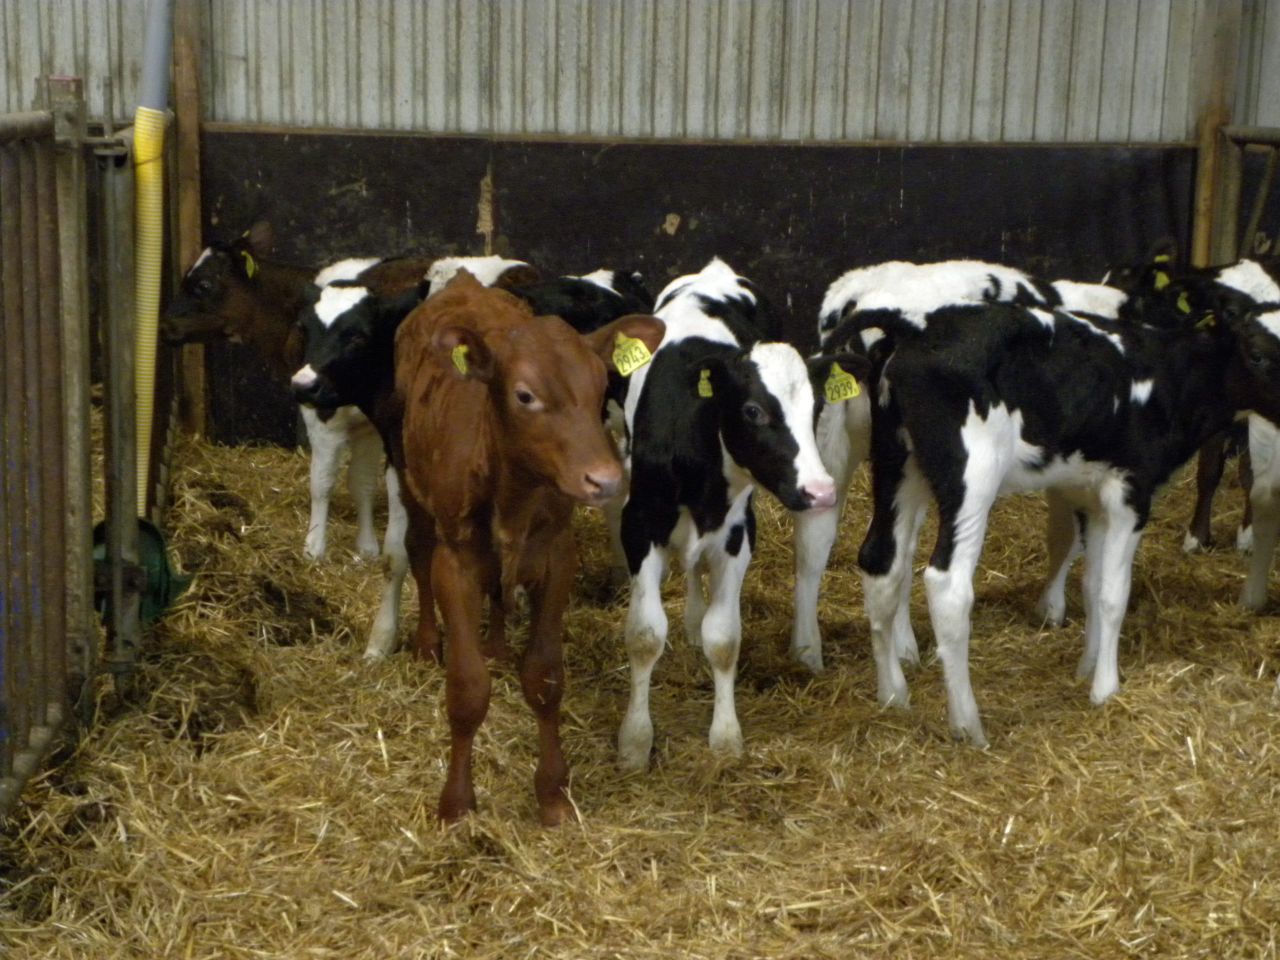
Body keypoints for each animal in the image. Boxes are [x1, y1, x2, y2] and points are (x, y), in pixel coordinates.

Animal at [395, 270, 664, 823]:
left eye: (601, 386)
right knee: (417, 554)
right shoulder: (456, 560)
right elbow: (467, 688)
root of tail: (465, 282)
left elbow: (544, 678)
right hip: (412, 486)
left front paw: (553, 794)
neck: (513, 491)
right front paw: (456, 804)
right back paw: (427, 642)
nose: (605, 479)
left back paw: (497, 647)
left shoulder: (556, 555)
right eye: (524, 395)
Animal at [614, 257, 862, 771]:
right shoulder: (639, 524)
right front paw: (635, 741)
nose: (820, 490)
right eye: (752, 410)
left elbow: (724, 637)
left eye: (816, 407)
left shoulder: (736, 532)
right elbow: (645, 634)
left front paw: (726, 737)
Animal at [842, 275, 1280, 748]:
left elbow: (1091, 585)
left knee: (880, 562)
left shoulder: (1090, 492)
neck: (1166, 377)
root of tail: (916, 327)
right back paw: (968, 724)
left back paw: (892, 694)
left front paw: (1087, 667)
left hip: (895, 462)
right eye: (1257, 354)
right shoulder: (1131, 490)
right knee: (948, 584)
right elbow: (1113, 593)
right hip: (972, 474)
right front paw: (1106, 688)